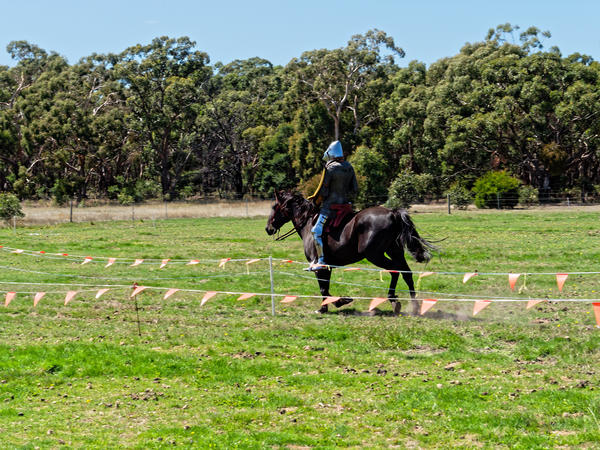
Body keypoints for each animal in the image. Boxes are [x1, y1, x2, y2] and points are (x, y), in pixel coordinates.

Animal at [264, 192, 434, 314]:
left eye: (274, 207)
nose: (268, 228)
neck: (308, 223)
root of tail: (392, 213)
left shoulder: (319, 267)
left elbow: (323, 288)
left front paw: (333, 304)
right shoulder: (327, 268)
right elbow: (325, 287)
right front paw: (333, 304)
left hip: (375, 256)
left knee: (395, 271)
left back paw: (393, 300)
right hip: (395, 251)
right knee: (406, 273)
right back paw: (414, 306)